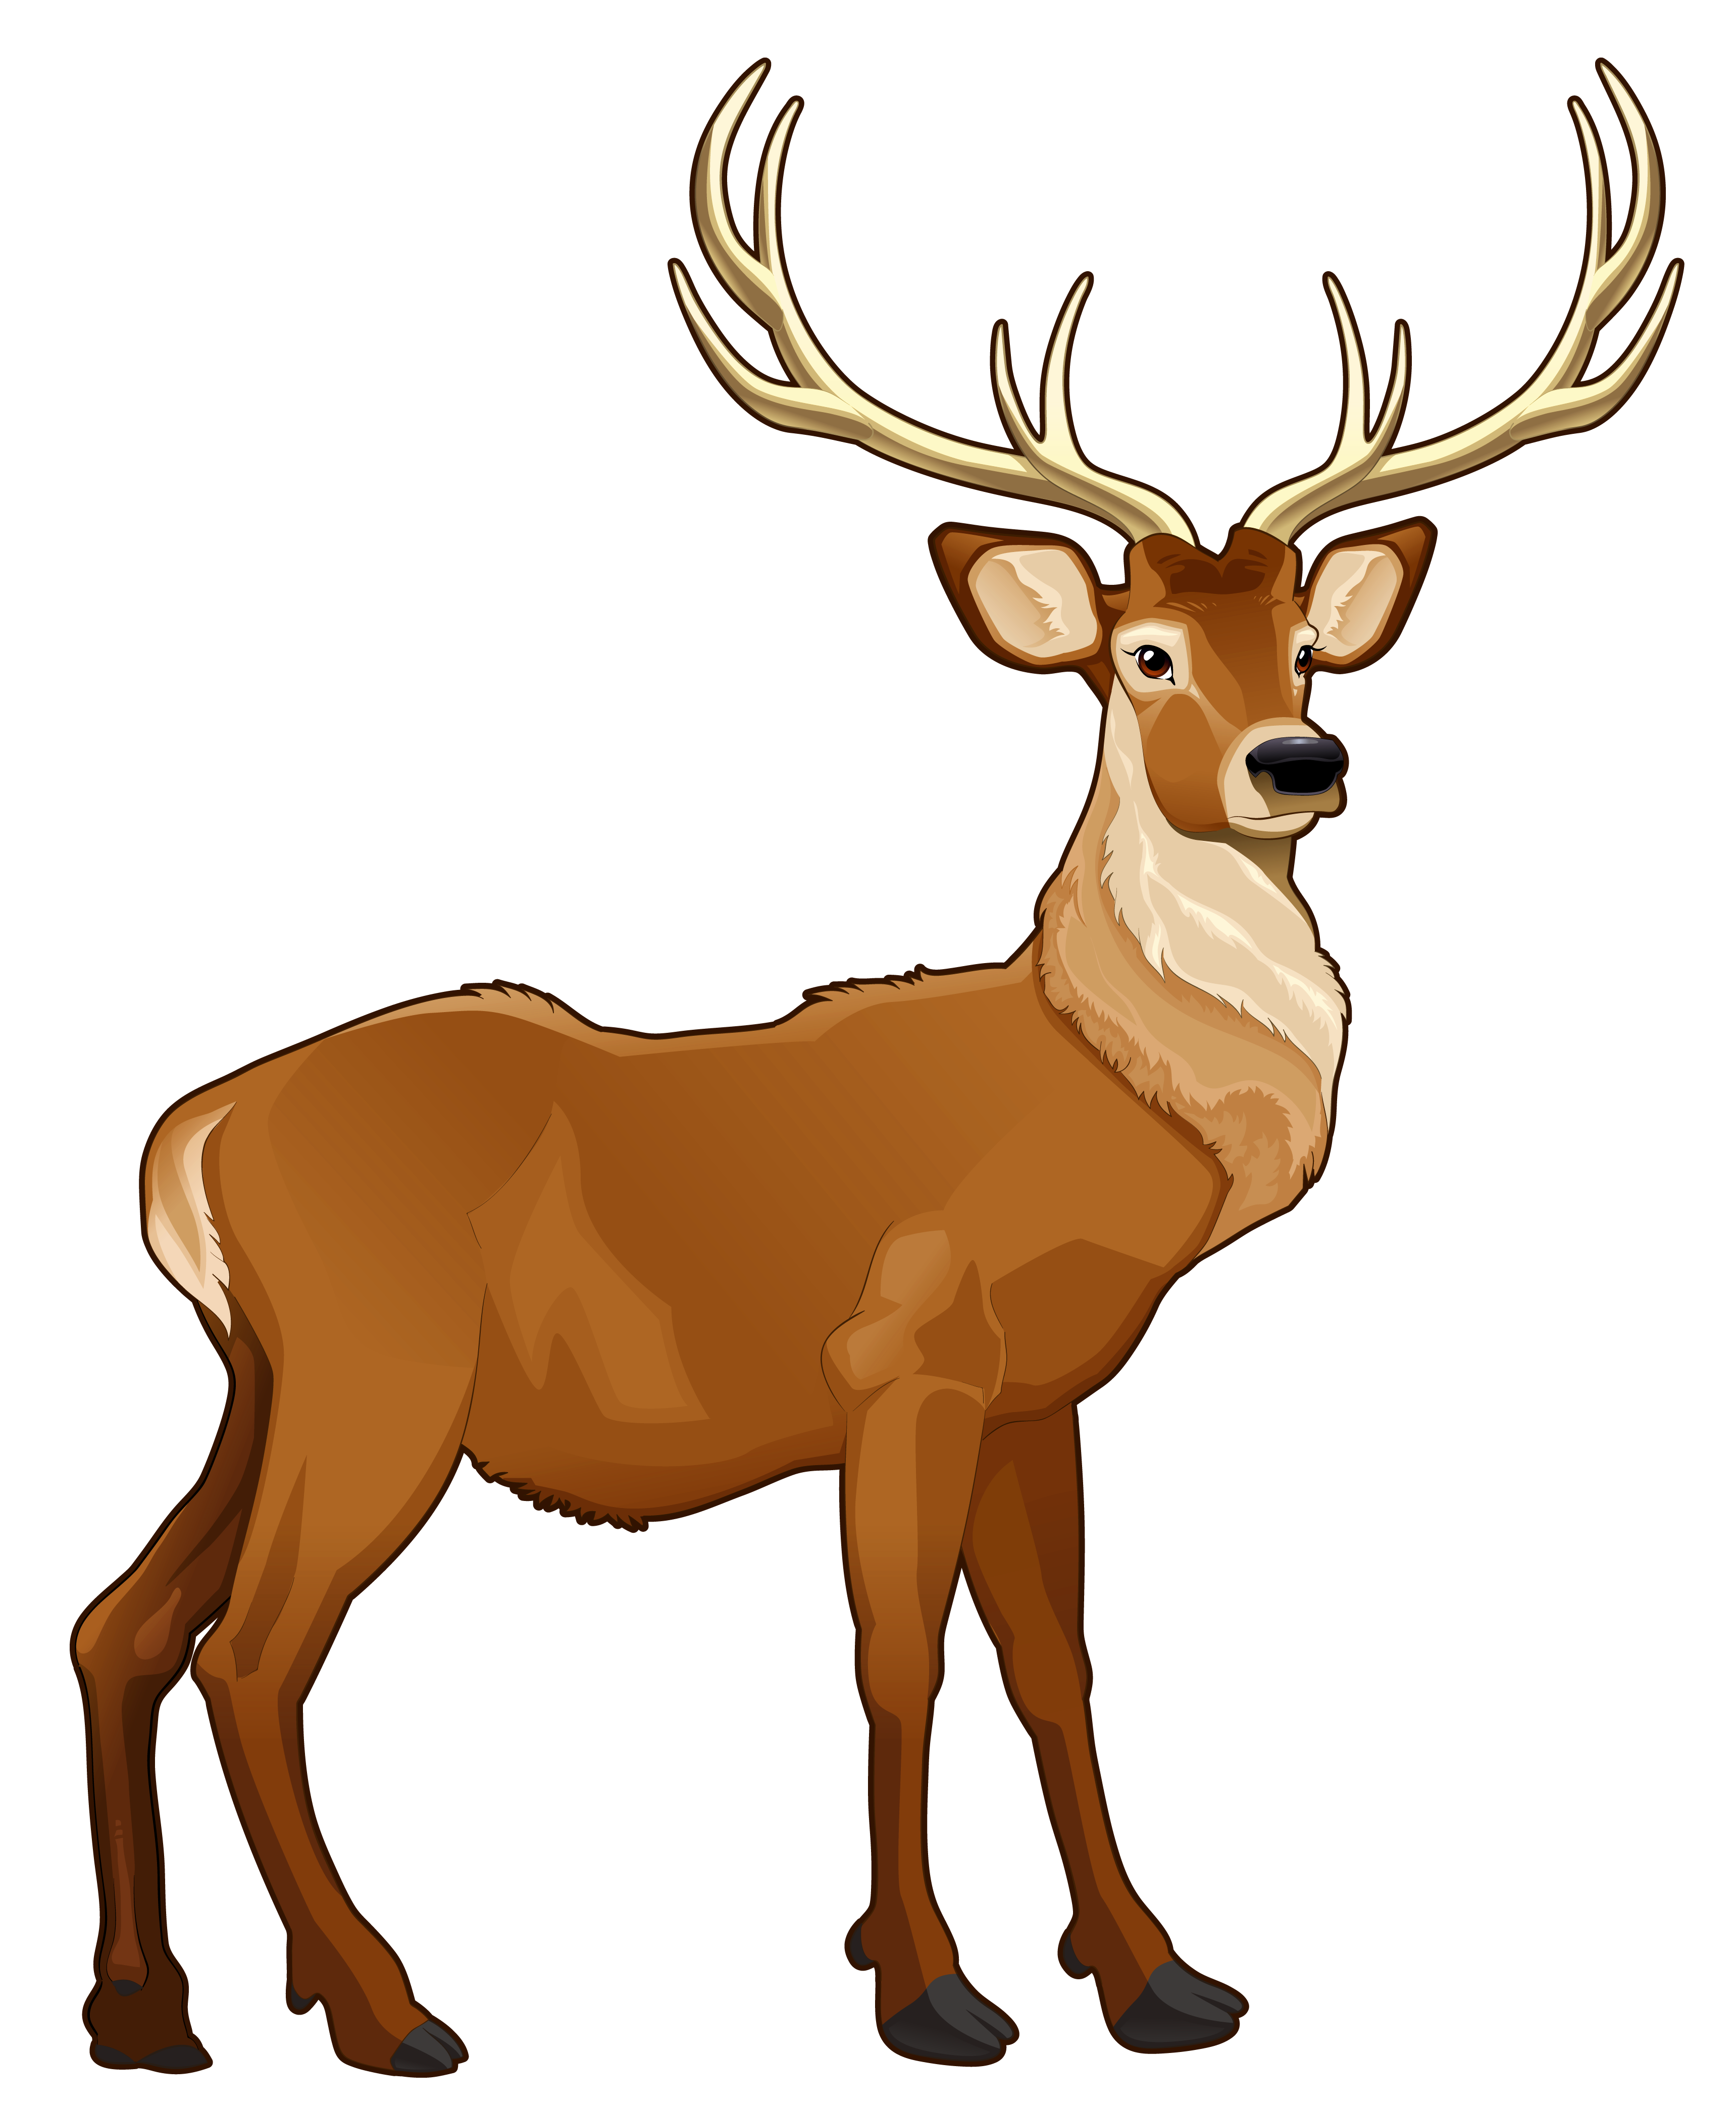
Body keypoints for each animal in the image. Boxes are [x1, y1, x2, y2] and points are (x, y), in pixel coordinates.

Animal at [72, 55, 1679, 2076]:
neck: (1106, 1102)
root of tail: (188, 1139)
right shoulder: (903, 1351)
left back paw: (144, 2013)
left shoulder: (1041, 1387)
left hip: (265, 1372)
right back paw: (389, 2012)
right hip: (381, 1366)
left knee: (125, 1622)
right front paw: (927, 1992)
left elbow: (1056, 1670)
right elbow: (902, 1660)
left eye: (1304, 644)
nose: (1295, 761)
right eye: (1146, 653)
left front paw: (1159, 1979)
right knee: (249, 1650)